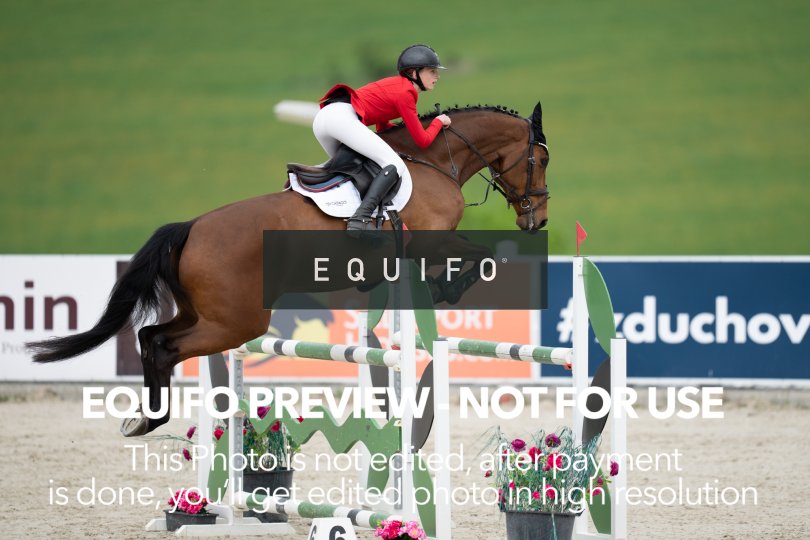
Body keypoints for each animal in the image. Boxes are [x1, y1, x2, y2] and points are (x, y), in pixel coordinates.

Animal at [27, 102, 551, 436]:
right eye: (541, 158)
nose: (538, 219)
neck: (432, 161)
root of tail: (191, 228)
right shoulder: (433, 240)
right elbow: (482, 255)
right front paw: (449, 289)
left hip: (207, 314)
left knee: (150, 335)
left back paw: (143, 417)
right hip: (236, 322)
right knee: (162, 344)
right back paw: (150, 419)